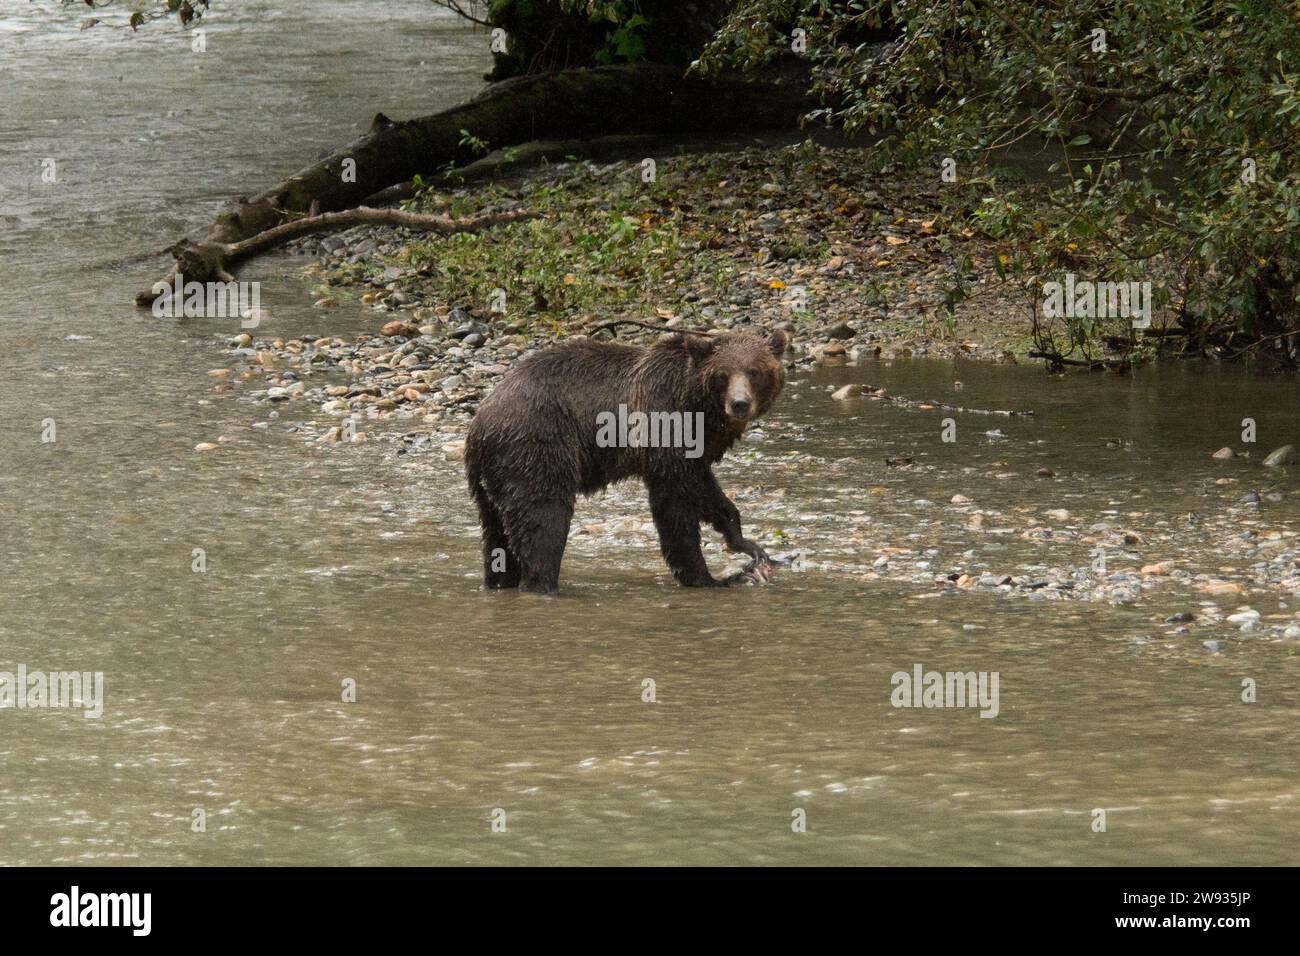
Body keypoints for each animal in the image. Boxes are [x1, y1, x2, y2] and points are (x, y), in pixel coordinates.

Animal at [467, 329, 790, 590]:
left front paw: (746, 544)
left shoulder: (696, 451)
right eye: (723, 374)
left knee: (497, 538)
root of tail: (479, 422)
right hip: (536, 446)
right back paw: (543, 584)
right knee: (543, 519)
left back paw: (500, 581)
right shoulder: (663, 425)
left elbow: (708, 491)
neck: (699, 408)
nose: (739, 404)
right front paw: (706, 577)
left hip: (494, 477)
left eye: (754, 371)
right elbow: (675, 504)